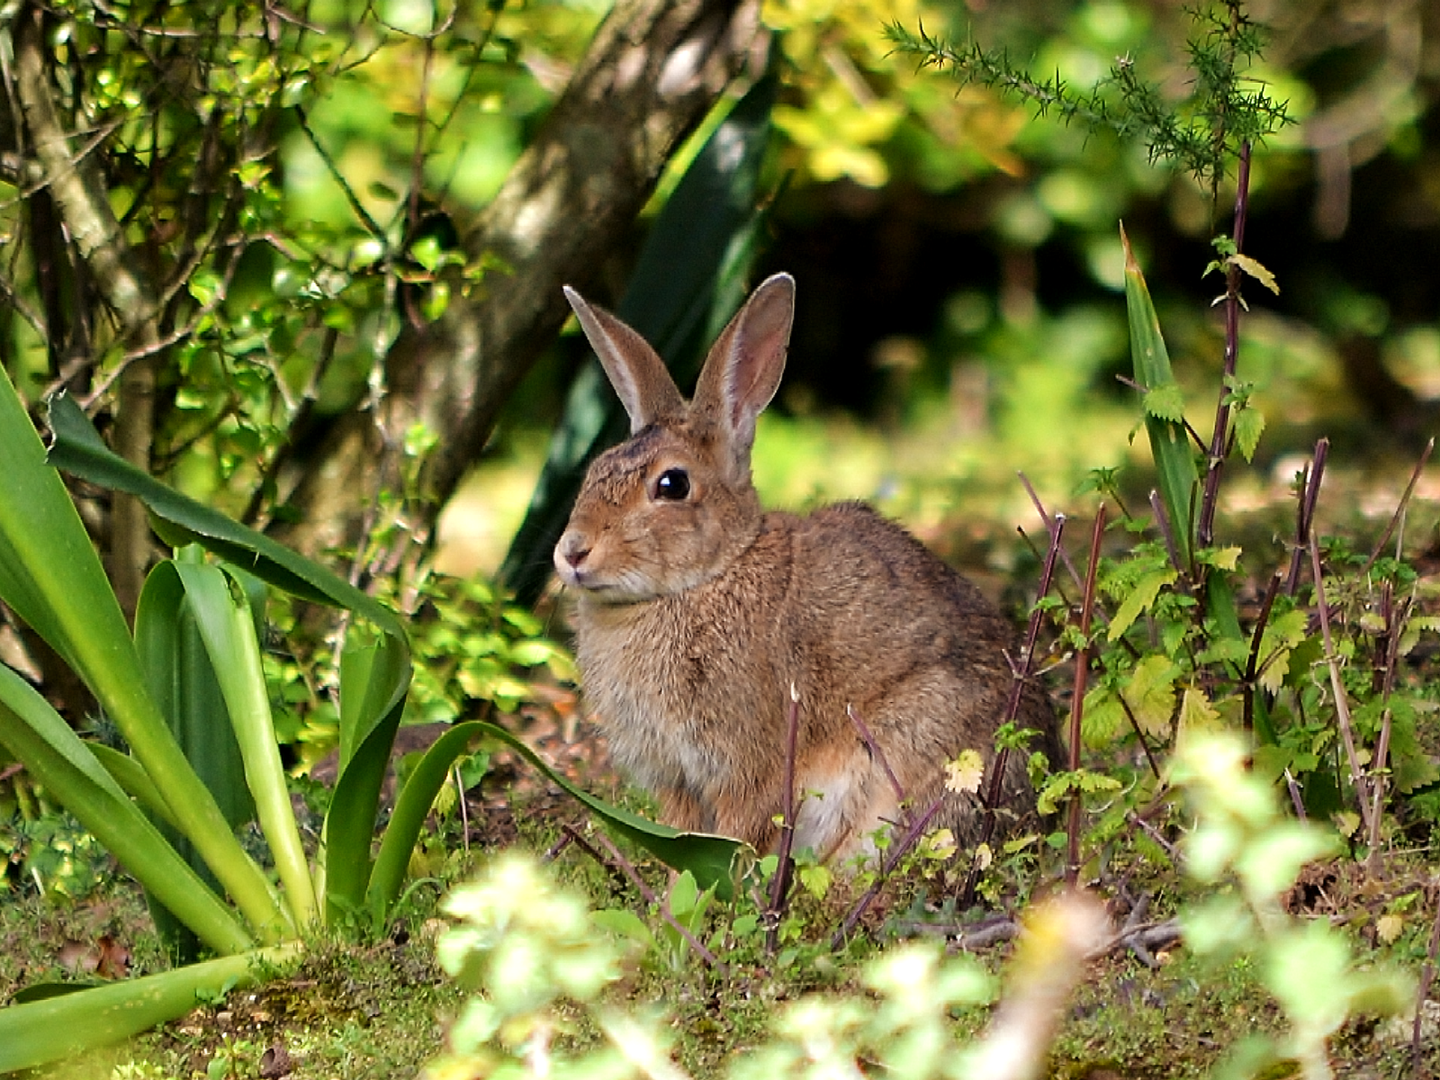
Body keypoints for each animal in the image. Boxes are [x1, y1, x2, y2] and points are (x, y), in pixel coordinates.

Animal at [552, 272, 1058, 863]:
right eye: (595, 469)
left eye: (672, 485)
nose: (572, 552)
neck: (705, 578)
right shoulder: (676, 780)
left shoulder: (748, 761)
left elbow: (737, 830)